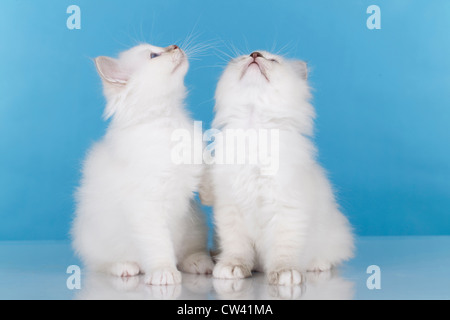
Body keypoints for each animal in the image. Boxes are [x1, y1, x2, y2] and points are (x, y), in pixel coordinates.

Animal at [71, 43, 214, 286]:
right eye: (154, 55)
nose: (175, 46)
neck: (168, 118)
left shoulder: (198, 160)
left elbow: (208, 168)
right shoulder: (147, 205)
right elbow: (159, 245)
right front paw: (164, 272)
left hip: (195, 226)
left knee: (188, 252)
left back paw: (198, 262)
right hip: (94, 241)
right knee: (102, 264)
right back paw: (124, 267)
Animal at [204, 51, 356, 286]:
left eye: (272, 60)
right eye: (243, 58)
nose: (255, 54)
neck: (254, 130)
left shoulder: (287, 208)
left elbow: (283, 250)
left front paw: (285, 273)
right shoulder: (231, 209)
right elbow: (237, 248)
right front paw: (232, 267)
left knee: (330, 255)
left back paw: (317, 265)